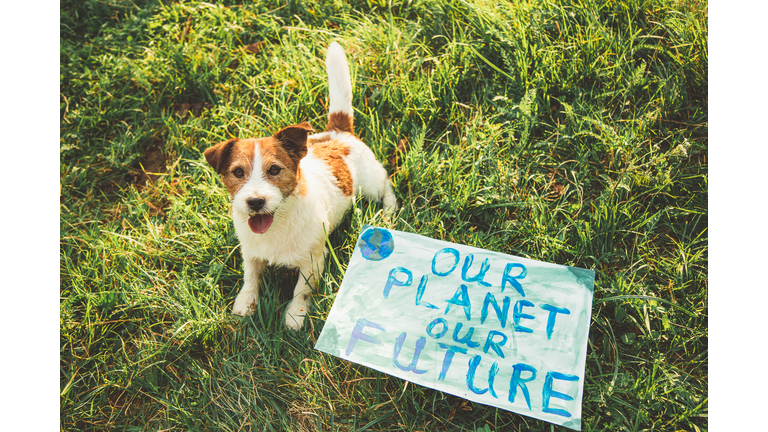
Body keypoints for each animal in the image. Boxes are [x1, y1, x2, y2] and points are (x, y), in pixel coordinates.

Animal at [204, 42, 396, 330]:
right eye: (237, 172)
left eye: (274, 169)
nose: (255, 202)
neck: (278, 224)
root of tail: (339, 133)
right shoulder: (251, 253)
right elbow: (250, 277)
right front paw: (246, 302)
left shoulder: (313, 260)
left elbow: (301, 290)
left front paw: (295, 315)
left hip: (371, 185)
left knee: (386, 184)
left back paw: (389, 211)